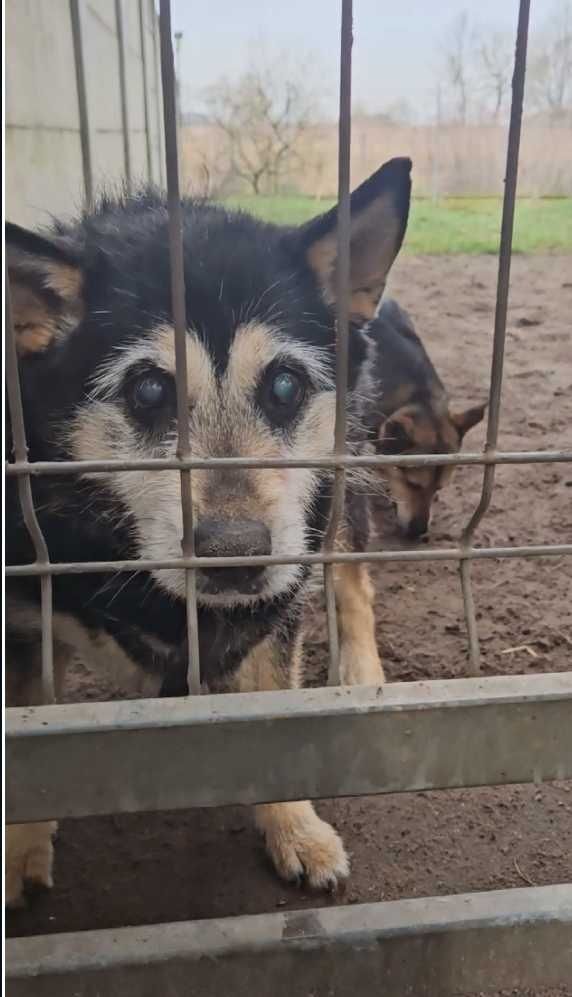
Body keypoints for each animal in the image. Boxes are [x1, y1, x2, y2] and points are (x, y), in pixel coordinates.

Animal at [4, 154, 412, 904]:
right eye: (147, 391)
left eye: (284, 386)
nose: (235, 556)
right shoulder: (23, 613)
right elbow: (29, 724)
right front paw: (19, 847)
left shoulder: (278, 601)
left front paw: (294, 829)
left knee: (352, 575)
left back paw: (361, 671)